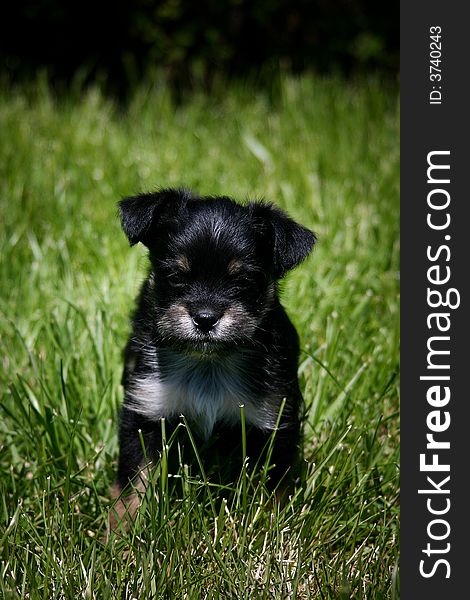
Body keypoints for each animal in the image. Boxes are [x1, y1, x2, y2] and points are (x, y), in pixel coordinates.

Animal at [110, 189, 316, 524]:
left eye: (243, 282)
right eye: (175, 276)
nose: (205, 318)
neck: (209, 363)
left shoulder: (274, 422)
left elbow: (273, 490)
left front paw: (268, 526)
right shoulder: (146, 412)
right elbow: (132, 485)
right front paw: (123, 530)